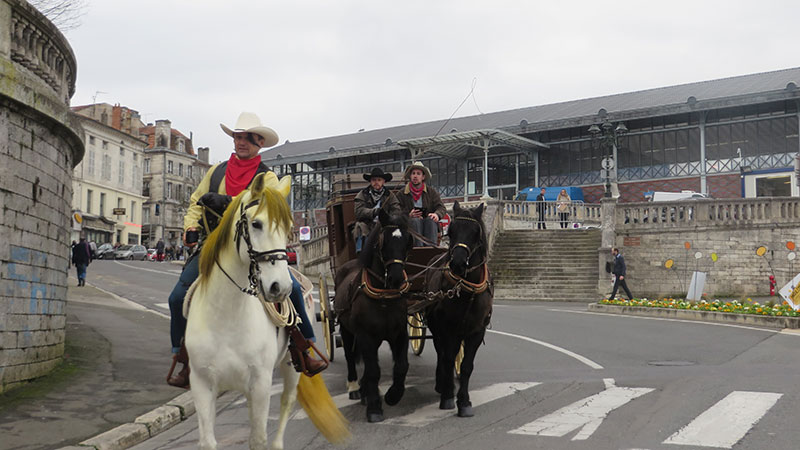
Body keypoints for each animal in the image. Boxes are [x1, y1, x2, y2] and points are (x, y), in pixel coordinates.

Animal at [334, 211, 416, 422]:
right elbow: (373, 370)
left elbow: (402, 365)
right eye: (382, 242)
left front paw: (393, 395)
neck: (384, 297)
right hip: (347, 331)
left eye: (407, 242)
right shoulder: (365, 336)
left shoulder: (399, 334)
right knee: (350, 357)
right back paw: (355, 387)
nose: (396, 279)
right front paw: (374, 408)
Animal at [424, 202, 494, 416]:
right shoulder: (448, 330)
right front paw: (448, 396)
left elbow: (466, 366)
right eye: (452, 231)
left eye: (475, 232)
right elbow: (447, 358)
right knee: (441, 353)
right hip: (437, 328)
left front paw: (464, 402)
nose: (457, 264)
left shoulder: (476, 331)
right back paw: (441, 384)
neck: (466, 290)